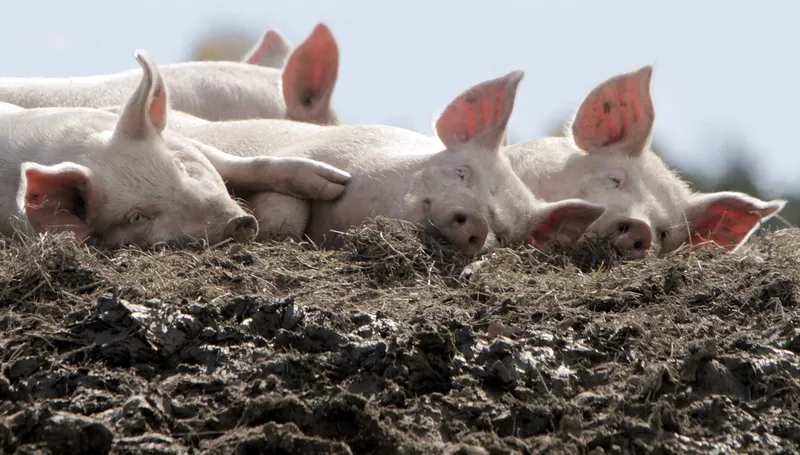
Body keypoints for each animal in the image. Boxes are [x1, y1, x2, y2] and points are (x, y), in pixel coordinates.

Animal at [0, 50, 351, 247]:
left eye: (179, 166)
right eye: (137, 217)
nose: (237, 222)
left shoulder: (186, 140)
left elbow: (244, 164)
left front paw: (336, 183)